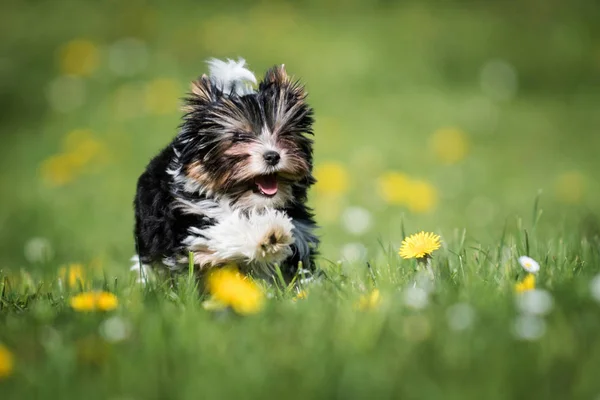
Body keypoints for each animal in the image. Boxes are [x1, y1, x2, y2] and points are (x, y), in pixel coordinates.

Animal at [131, 58, 318, 282]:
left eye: (285, 133)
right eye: (239, 137)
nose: (272, 156)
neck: (249, 203)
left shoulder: (300, 230)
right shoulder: (190, 224)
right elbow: (224, 230)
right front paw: (268, 233)